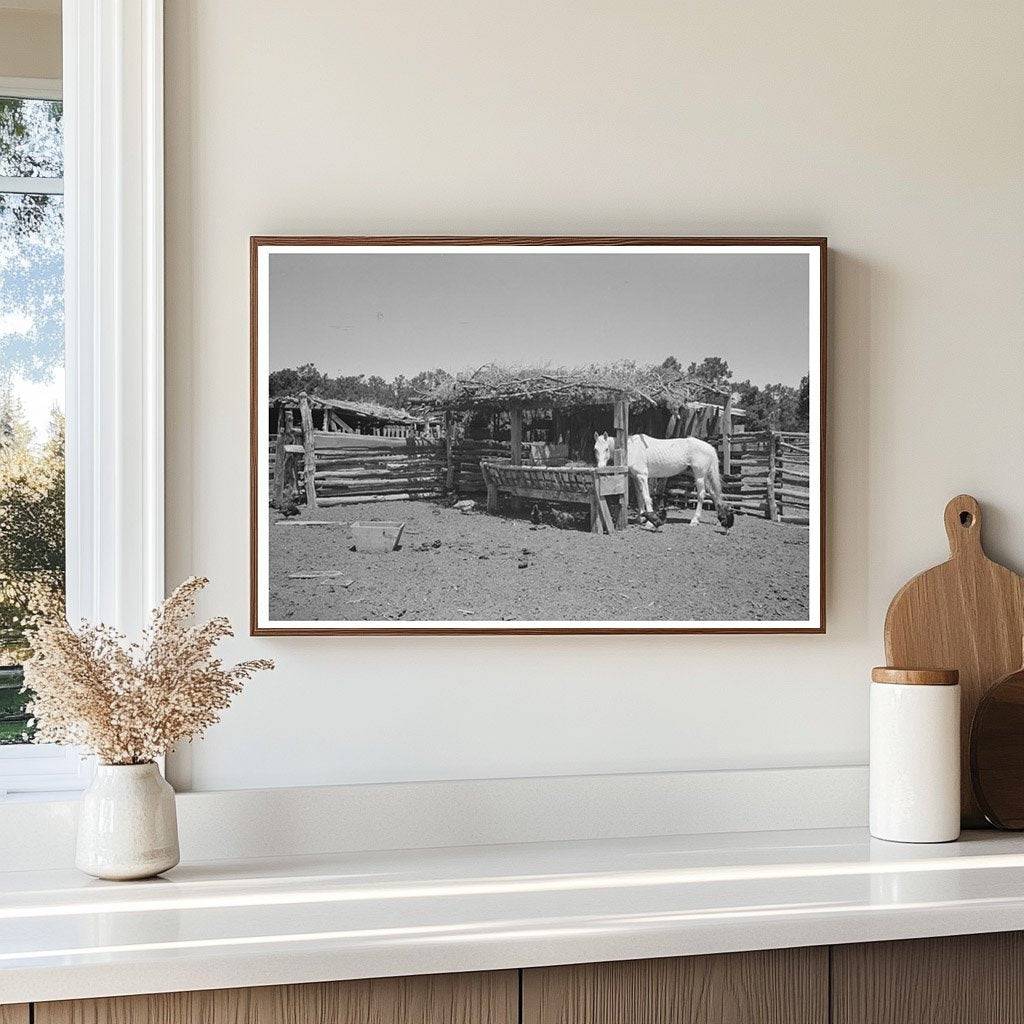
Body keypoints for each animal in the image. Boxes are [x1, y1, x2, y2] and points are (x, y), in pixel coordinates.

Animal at [593, 430, 737, 528]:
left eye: (606, 449)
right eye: (595, 449)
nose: (600, 467)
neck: (631, 448)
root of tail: (710, 447)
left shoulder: (642, 476)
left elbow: (646, 497)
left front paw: (650, 522)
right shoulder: (635, 478)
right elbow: (640, 497)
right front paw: (641, 518)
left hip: (700, 475)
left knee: (701, 495)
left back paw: (694, 520)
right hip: (705, 476)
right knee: (714, 493)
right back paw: (720, 519)